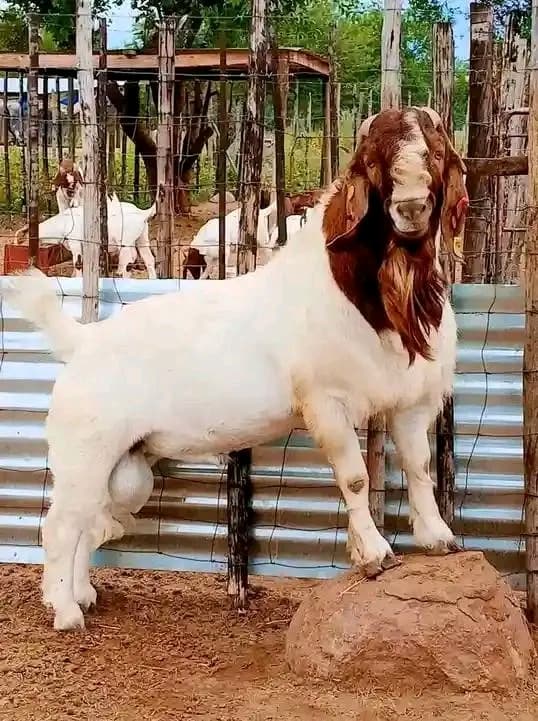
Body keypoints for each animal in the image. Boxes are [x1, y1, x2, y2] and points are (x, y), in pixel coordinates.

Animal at [5, 107, 469, 631]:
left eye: (435, 149)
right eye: (373, 162)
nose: (411, 206)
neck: (367, 298)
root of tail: (84, 341)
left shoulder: (411, 402)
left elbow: (419, 466)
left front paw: (437, 537)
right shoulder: (326, 402)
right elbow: (354, 478)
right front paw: (374, 554)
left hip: (123, 469)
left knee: (89, 521)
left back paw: (83, 595)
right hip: (83, 451)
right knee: (60, 526)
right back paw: (65, 613)